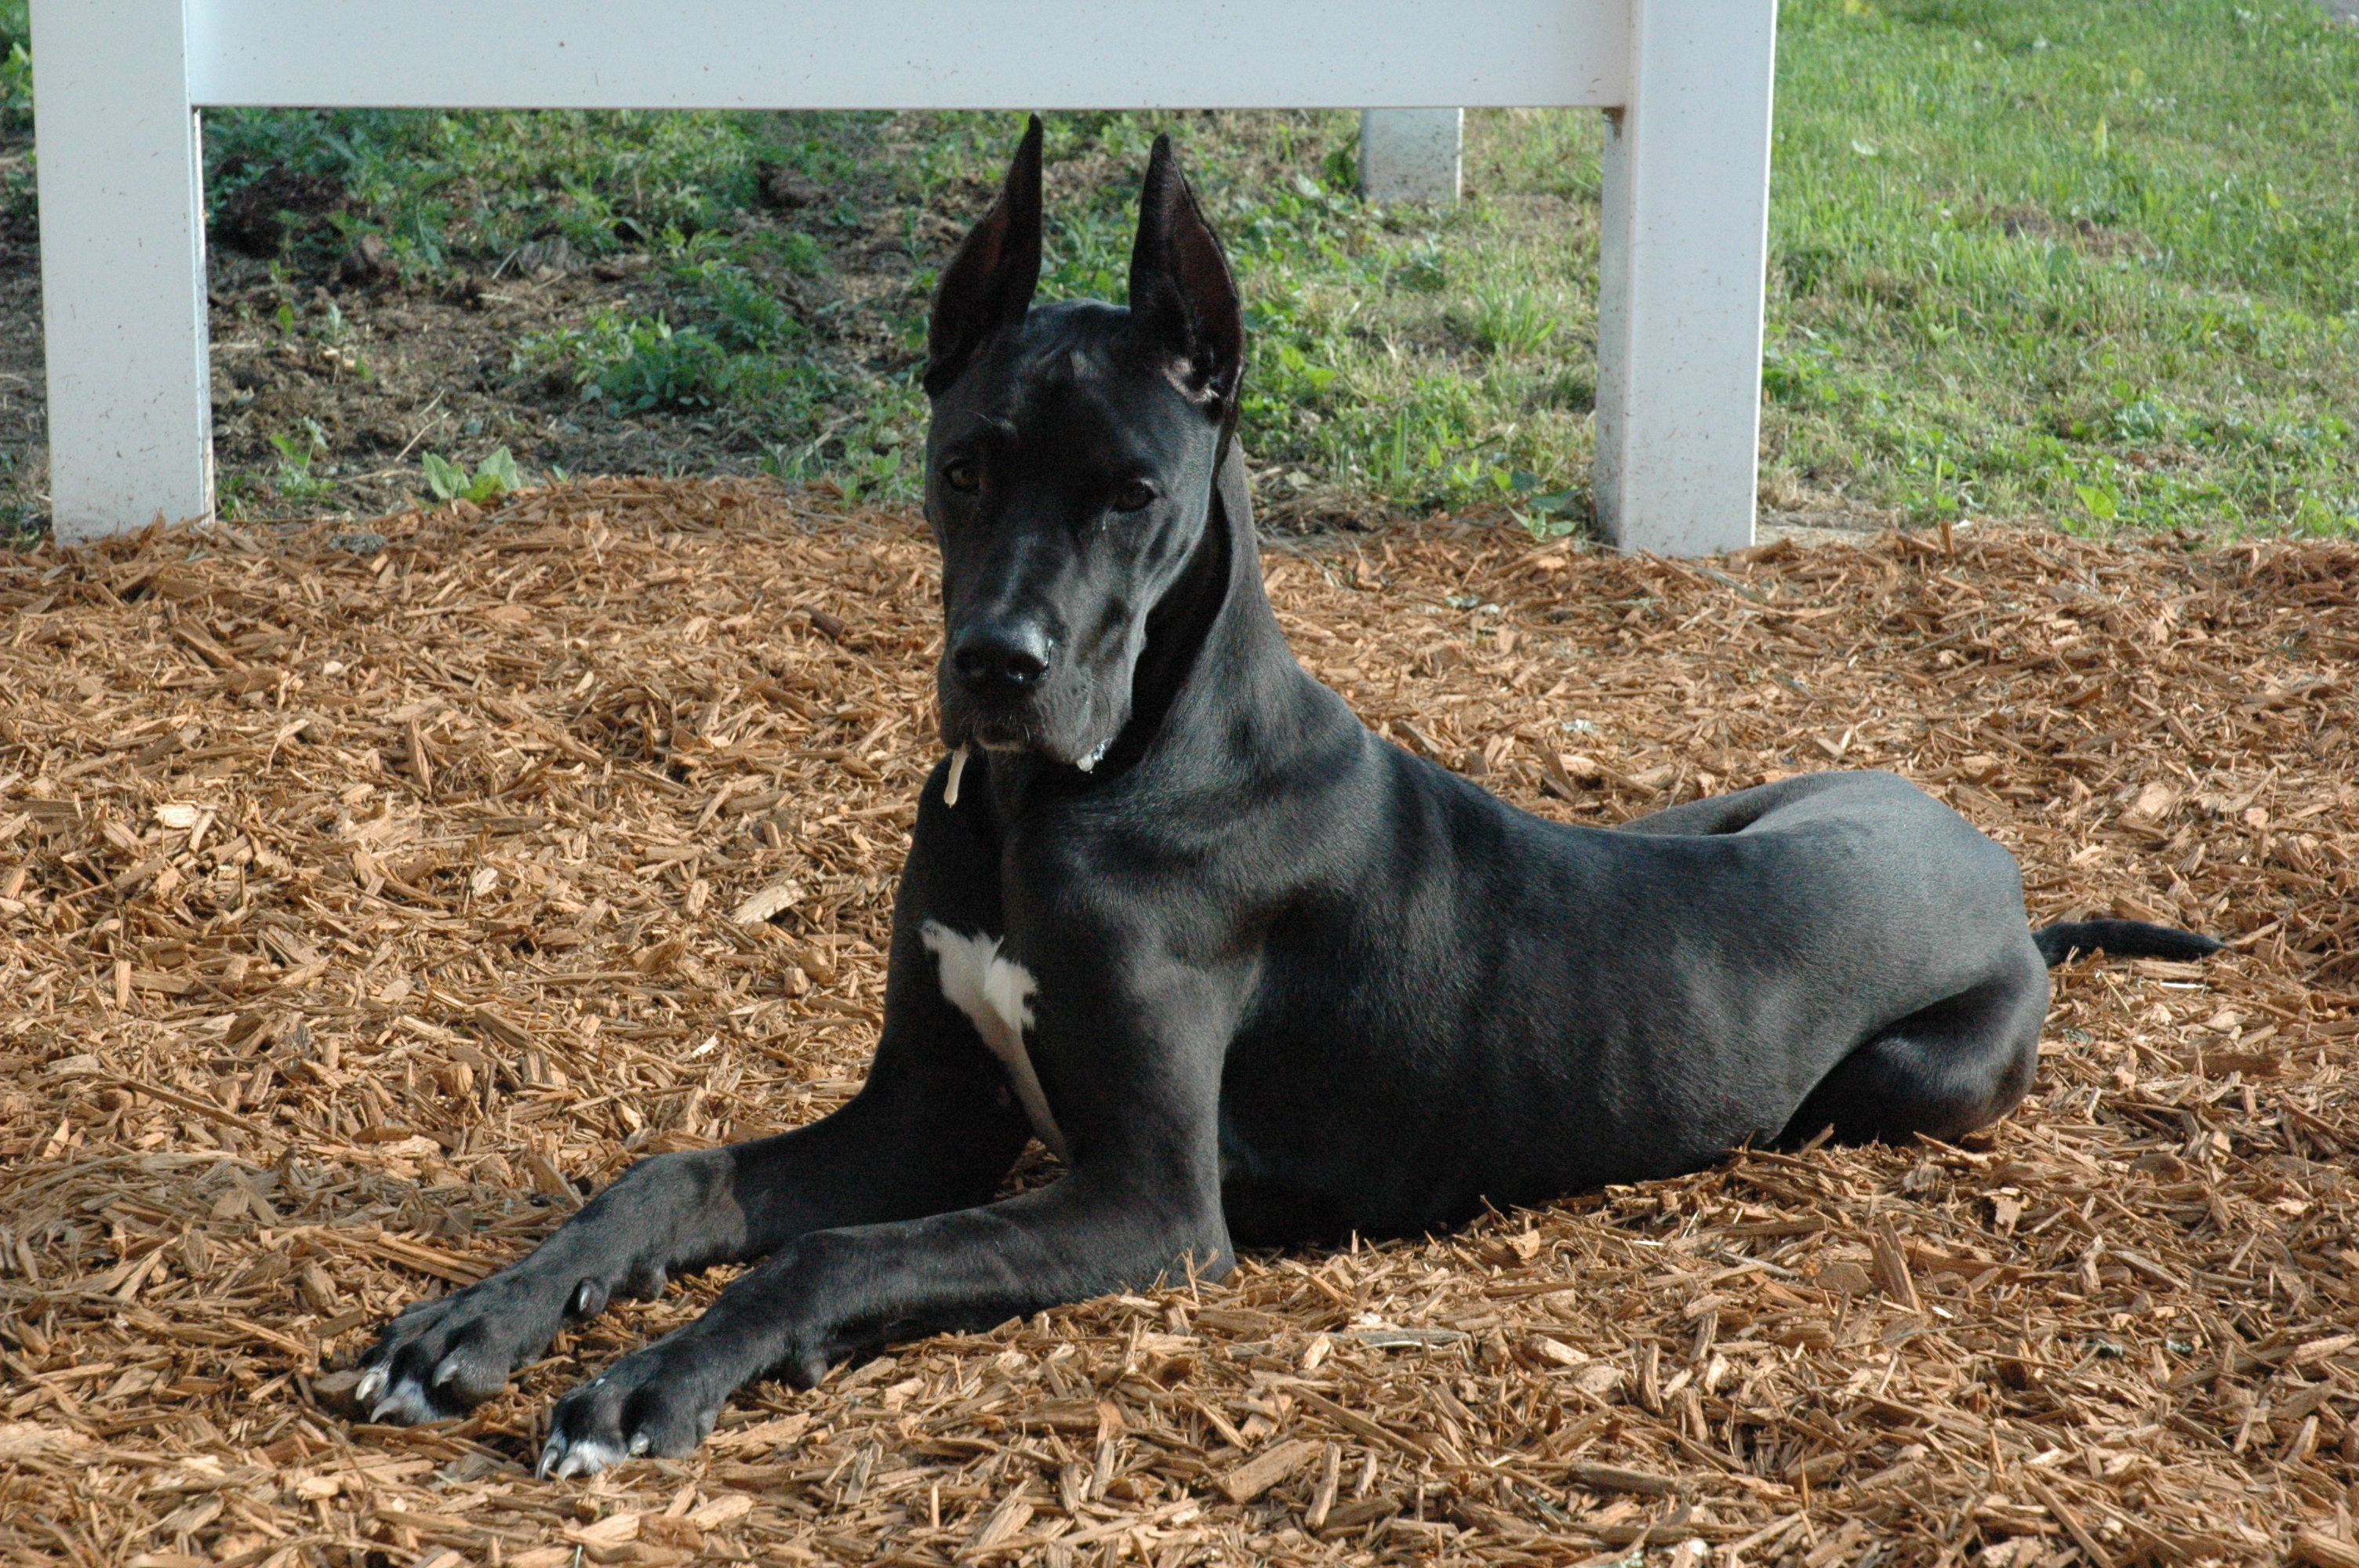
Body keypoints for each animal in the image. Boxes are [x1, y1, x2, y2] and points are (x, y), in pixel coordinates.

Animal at [358, 118, 2217, 1471]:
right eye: (962, 466)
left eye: (1129, 495)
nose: (999, 666)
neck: (1070, 794)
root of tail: (1993, 864)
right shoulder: (923, 1114)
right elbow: (668, 1178)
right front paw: (463, 1329)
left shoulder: (1148, 1205)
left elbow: (831, 1255)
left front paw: (639, 1387)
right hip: (1714, 810)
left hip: (1904, 1078)